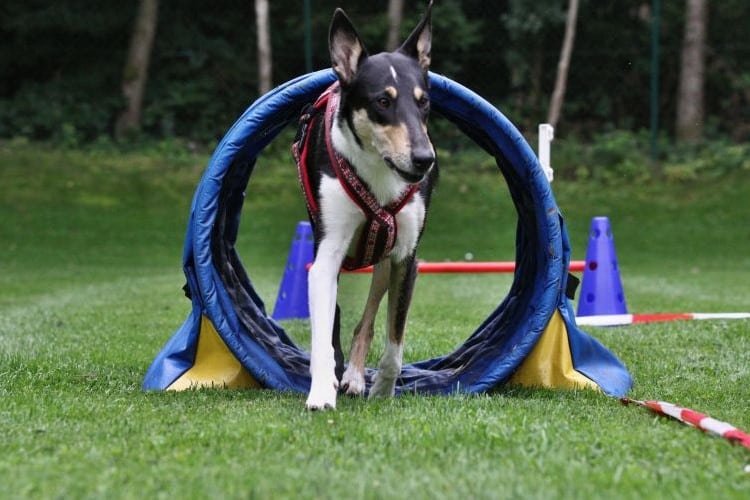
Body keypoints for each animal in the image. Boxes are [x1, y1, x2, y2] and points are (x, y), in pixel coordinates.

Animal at [292, 1, 438, 410]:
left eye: (423, 101)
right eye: (382, 102)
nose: (424, 160)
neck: (378, 170)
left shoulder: (406, 257)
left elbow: (394, 341)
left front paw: (383, 389)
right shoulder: (326, 254)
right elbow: (324, 337)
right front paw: (321, 392)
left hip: (385, 259)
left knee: (368, 319)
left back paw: (357, 378)